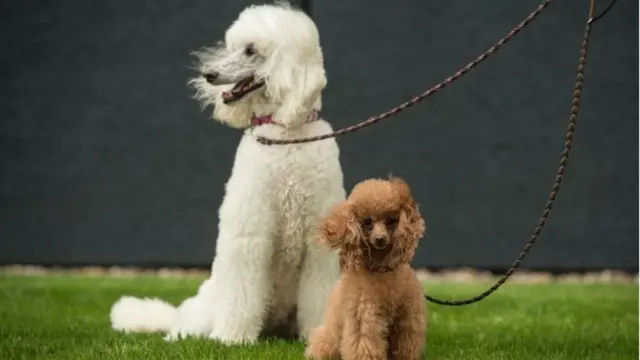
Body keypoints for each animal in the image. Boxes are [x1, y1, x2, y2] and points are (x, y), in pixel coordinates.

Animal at [109, 3, 344, 346]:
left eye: (251, 51)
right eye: (233, 47)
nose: (209, 75)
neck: (284, 132)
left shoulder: (320, 242)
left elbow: (320, 292)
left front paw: (319, 337)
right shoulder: (249, 230)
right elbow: (241, 288)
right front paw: (232, 339)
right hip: (203, 311)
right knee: (184, 328)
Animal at [306, 177, 428, 360]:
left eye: (390, 221)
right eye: (367, 222)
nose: (380, 239)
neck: (381, 269)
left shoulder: (408, 315)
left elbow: (406, 342)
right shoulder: (362, 315)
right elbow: (363, 342)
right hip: (329, 339)